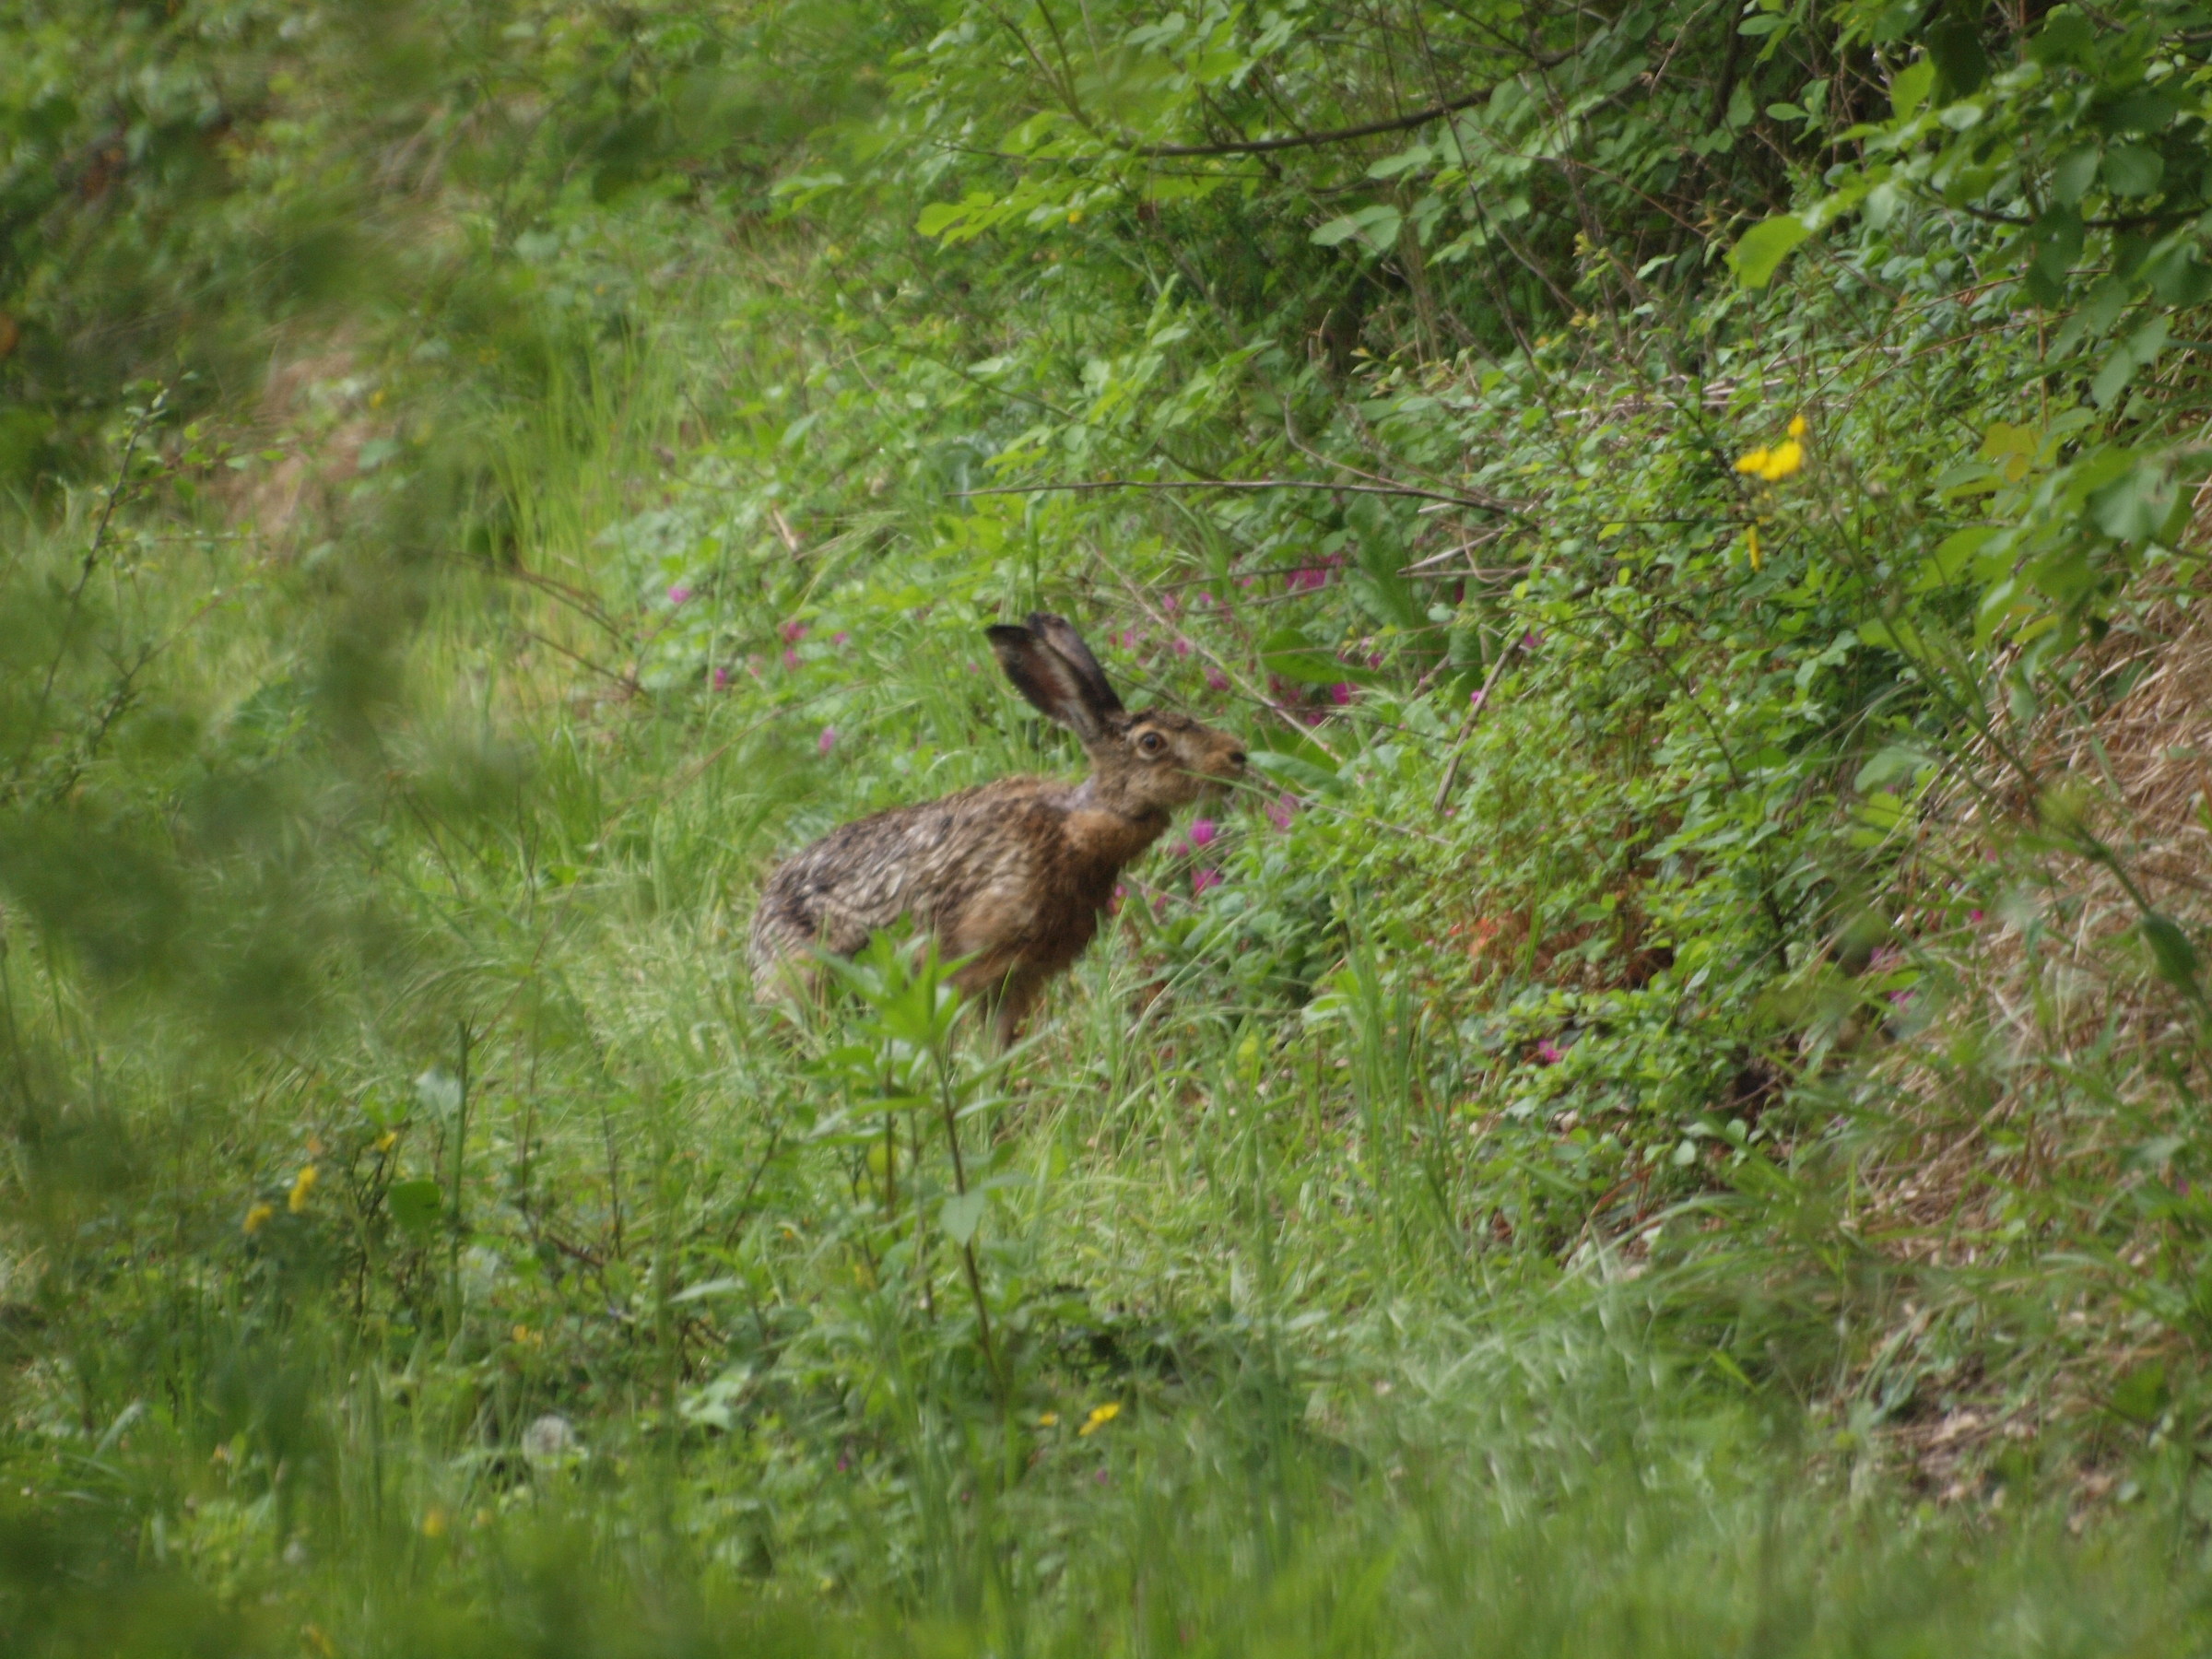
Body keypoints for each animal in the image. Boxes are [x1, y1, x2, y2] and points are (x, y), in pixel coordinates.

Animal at [750, 612, 1247, 1045]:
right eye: (1152, 742)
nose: (1236, 755)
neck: (1073, 825)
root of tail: (758, 931)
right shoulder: (962, 965)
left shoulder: (1019, 977)